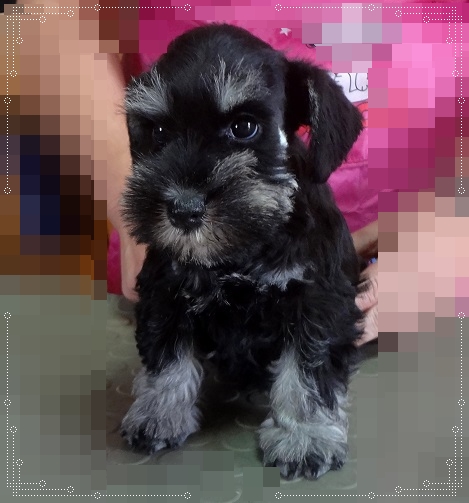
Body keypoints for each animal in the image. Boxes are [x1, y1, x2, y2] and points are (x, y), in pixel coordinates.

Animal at [120, 23, 366, 480]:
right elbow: (166, 355)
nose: (183, 210)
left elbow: (308, 370)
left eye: (245, 127)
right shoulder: (164, 292)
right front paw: (158, 413)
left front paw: (306, 436)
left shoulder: (317, 304)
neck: (241, 250)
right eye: (158, 132)